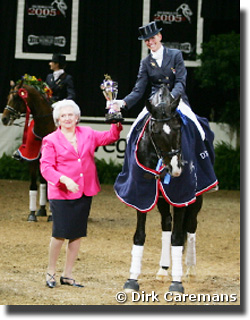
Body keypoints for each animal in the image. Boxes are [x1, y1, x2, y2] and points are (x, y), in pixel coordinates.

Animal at [1, 80, 55, 221]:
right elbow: (33, 186)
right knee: (43, 183)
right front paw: (32, 215)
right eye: (7, 97)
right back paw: (41, 210)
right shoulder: (32, 159)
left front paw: (52, 216)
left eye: (16, 97)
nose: (4, 119)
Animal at [114, 84, 218, 292]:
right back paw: (163, 270)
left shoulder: (181, 196)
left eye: (179, 128)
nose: (176, 169)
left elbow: (178, 238)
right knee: (166, 224)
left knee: (191, 225)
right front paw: (132, 280)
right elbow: (139, 236)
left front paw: (176, 283)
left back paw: (190, 270)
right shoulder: (142, 195)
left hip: (197, 197)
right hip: (161, 198)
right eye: (155, 132)